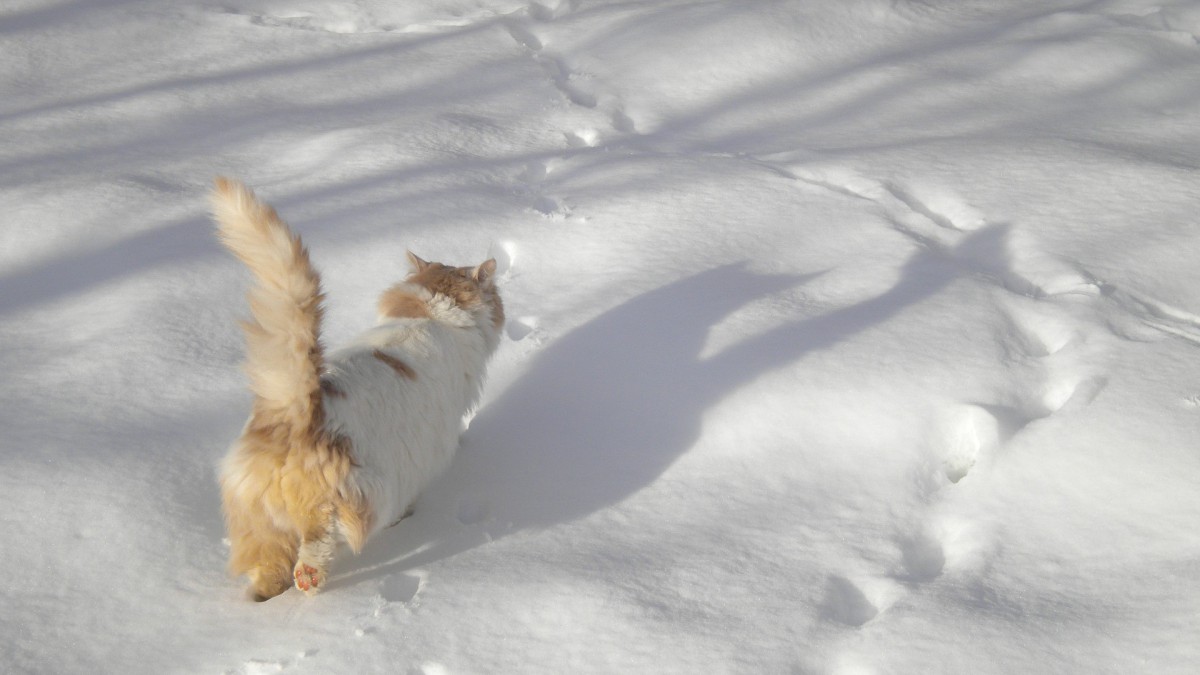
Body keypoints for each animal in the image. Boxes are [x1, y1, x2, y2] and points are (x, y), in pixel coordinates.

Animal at [211, 176, 501, 595]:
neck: (431, 314)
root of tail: (295, 410)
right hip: (357, 495)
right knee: (317, 547)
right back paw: (310, 578)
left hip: (260, 524)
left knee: (268, 568)